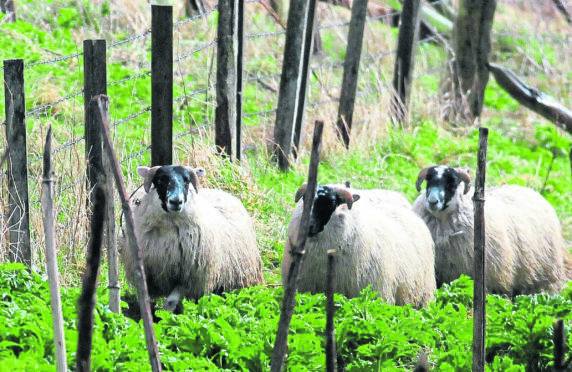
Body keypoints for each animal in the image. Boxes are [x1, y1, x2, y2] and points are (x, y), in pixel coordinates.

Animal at [122, 165, 264, 310]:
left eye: (186, 181)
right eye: (160, 181)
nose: (176, 201)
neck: (169, 226)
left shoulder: (192, 277)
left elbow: (170, 302)